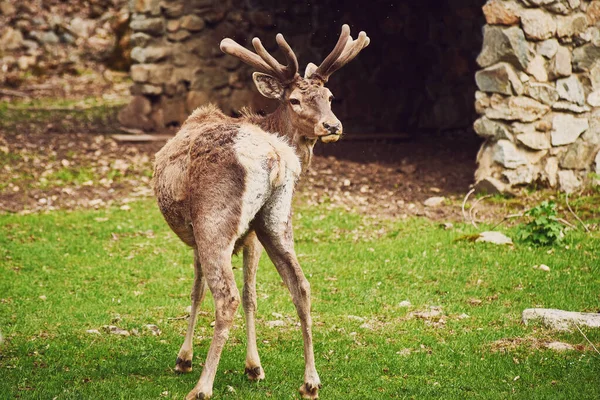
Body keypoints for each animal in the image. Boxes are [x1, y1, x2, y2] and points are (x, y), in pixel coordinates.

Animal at [152, 25, 368, 400]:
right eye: (295, 100)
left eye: (330, 97)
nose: (332, 126)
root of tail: (277, 157)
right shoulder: (251, 233)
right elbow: (252, 293)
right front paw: (254, 366)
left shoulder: (203, 230)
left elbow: (199, 290)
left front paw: (184, 358)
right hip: (277, 220)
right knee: (301, 285)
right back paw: (311, 381)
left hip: (214, 219)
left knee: (226, 297)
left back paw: (202, 387)